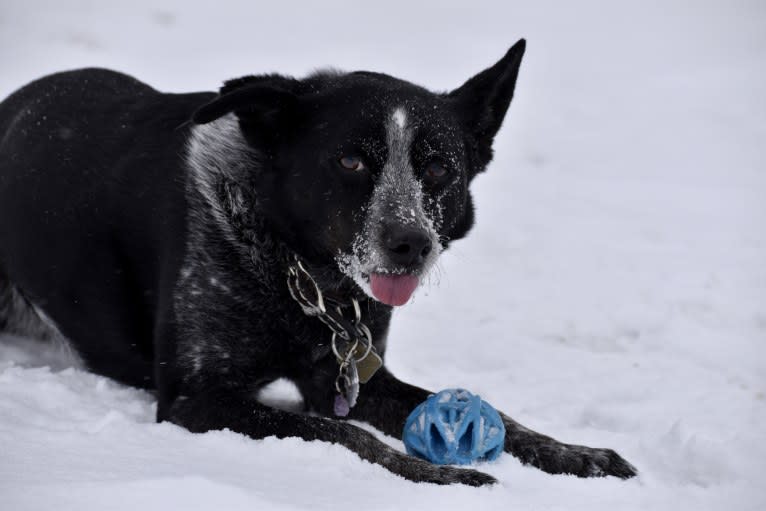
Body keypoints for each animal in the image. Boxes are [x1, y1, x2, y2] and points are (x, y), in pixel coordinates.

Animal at [0, 39, 636, 484]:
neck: (301, 275)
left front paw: (574, 452)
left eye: (438, 169)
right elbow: (341, 436)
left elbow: (501, 416)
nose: (411, 243)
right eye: (350, 161)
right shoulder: (196, 397)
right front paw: (434, 471)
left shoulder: (353, 379)